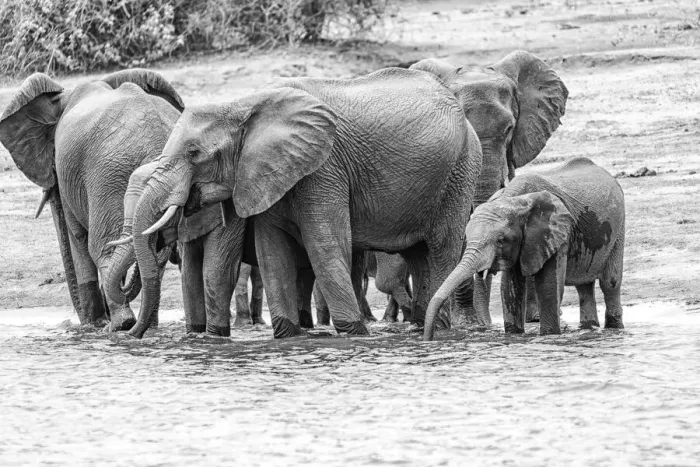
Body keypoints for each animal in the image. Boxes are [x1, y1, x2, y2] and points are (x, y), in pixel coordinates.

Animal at [0, 69, 184, 330]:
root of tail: (157, 141)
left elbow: (77, 237)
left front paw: (92, 325)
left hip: (108, 176)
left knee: (102, 247)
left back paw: (120, 325)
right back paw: (146, 326)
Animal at [120, 67, 483, 339]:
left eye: (194, 153)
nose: (127, 333)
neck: (243, 105)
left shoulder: (324, 166)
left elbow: (324, 247)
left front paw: (354, 334)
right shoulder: (267, 175)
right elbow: (272, 251)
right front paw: (289, 336)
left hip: (460, 170)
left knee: (440, 249)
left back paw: (434, 331)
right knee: (418, 255)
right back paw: (421, 327)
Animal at [424, 157, 625, 340]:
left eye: (500, 240)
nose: (429, 339)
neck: (513, 200)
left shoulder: (556, 233)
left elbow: (548, 287)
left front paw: (549, 336)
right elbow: (510, 288)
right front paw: (514, 336)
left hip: (618, 229)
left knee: (610, 283)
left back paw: (614, 329)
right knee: (584, 287)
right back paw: (589, 329)